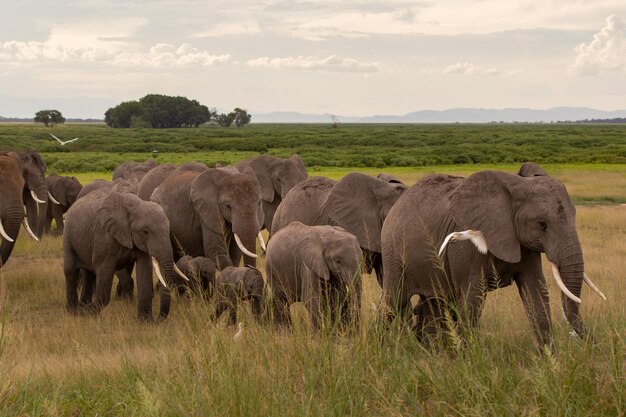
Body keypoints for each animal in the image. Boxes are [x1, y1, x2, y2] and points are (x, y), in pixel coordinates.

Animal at [63, 190, 186, 320]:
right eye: (145, 232)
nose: (156, 319)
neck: (135, 205)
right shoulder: (104, 237)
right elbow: (104, 270)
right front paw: (86, 311)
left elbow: (144, 270)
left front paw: (145, 321)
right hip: (68, 236)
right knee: (70, 271)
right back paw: (74, 310)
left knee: (89, 274)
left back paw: (82, 305)